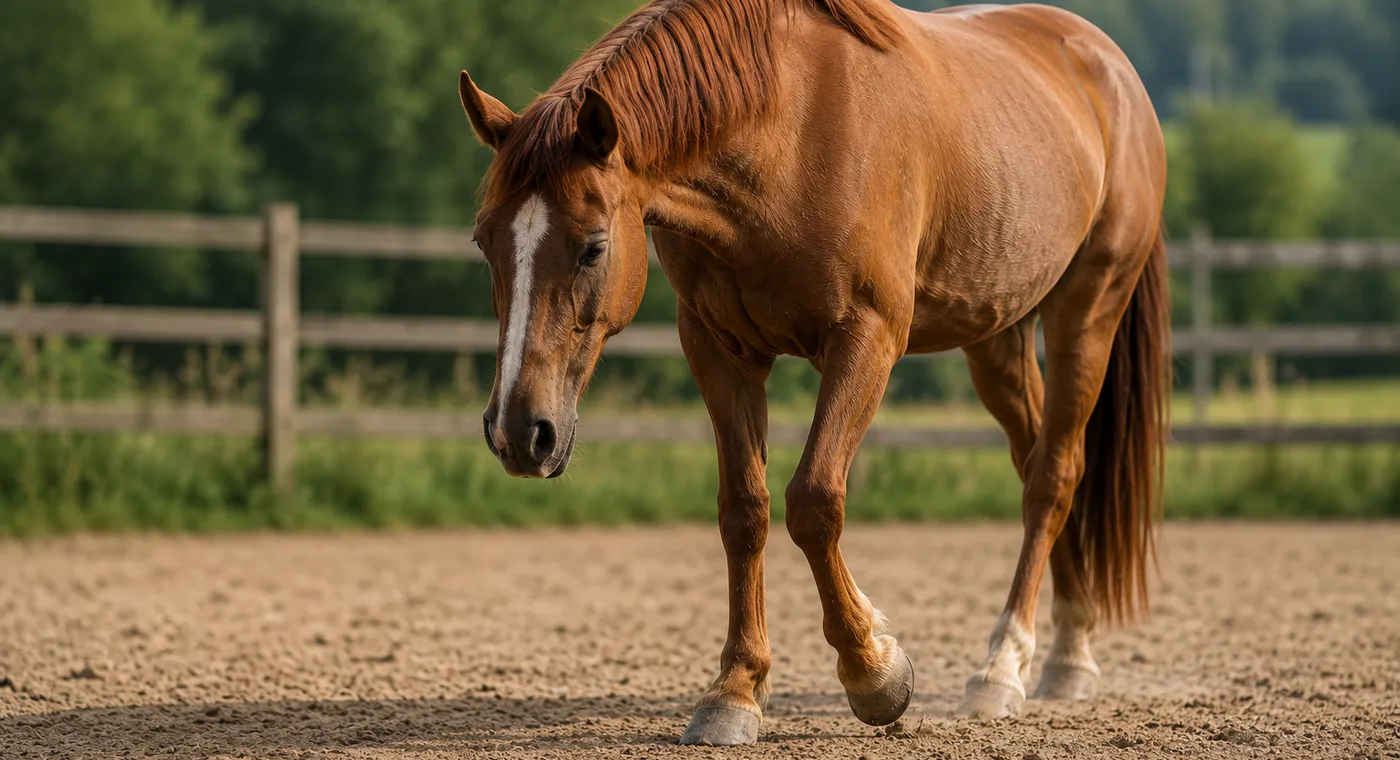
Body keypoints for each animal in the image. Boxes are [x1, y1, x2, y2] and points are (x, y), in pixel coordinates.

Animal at [459, 0, 1169, 745]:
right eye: (484, 241)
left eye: (594, 247)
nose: (518, 432)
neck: (787, 132)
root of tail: (1104, 62)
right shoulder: (717, 349)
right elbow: (744, 510)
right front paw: (735, 691)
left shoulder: (865, 338)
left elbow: (814, 502)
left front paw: (875, 672)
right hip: (996, 334)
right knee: (1039, 460)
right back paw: (1065, 653)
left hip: (1087, 310)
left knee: (1053, 477)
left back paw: (1003, 667)